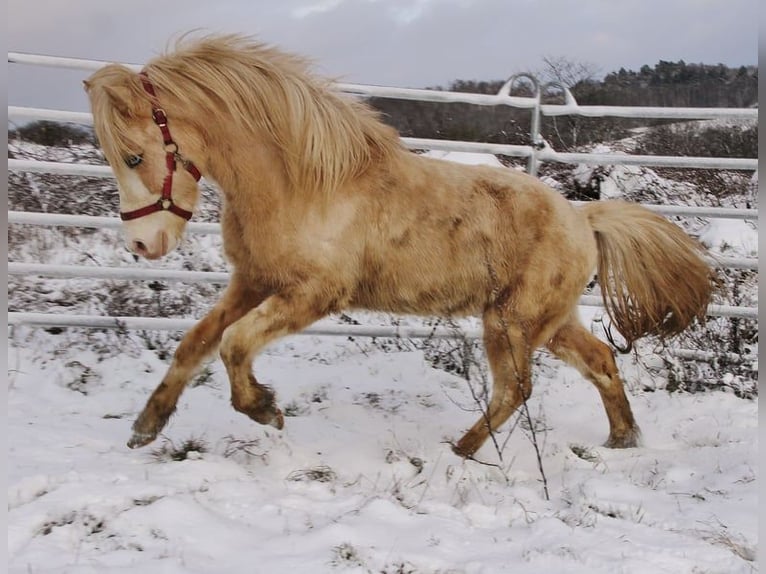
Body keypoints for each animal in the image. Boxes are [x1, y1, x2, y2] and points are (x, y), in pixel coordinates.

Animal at [84, 34, 715, 458]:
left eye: (134, 156)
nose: (143, 244)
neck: (303, 184)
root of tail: (583, 219)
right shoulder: (254, 281)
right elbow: (195, 344)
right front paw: (146, 427)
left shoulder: (313, 296)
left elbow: (235, 345)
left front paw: (265, 409)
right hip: (551, 323)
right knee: (602, 362)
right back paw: (623, 439)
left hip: (512, 324)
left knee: (516, 389)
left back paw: (460, 452)